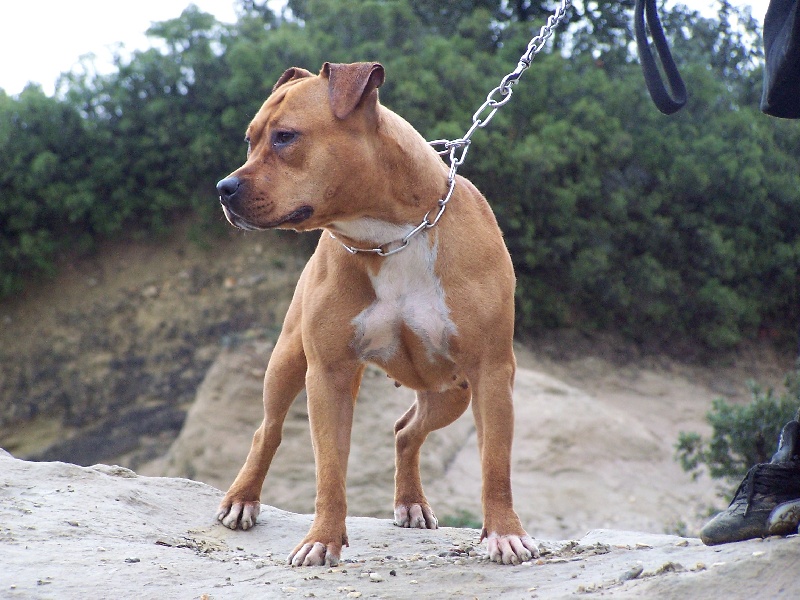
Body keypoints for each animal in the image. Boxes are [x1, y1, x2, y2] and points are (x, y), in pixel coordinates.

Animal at [216, 63, 536, 564]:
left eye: (285, 137)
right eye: (250, 140)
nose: (223, 188)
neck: (389, 235)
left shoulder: (490, 371)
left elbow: (495, 464)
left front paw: (504, 532)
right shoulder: (327, 374)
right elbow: (330, 469)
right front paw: (321, 539)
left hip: (452, 392)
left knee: (407, 431)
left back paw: (412, 502)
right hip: (287, 361)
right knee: (267, 430)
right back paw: (242, 498)